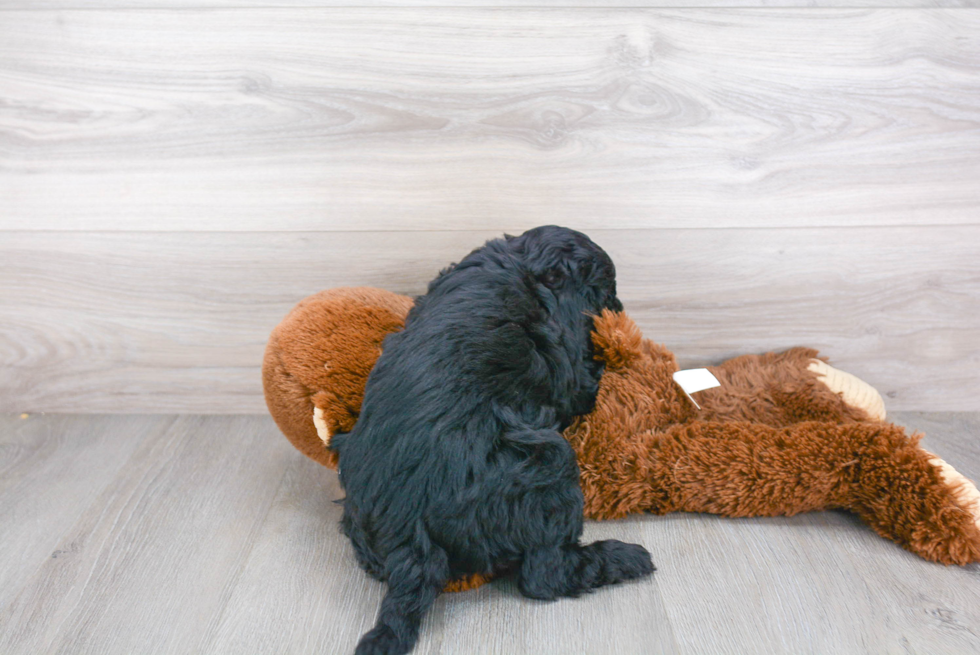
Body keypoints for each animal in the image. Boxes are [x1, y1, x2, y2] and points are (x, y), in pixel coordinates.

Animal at [334, 227, 656, 655]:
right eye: (606, 285)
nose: (618, 308)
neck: (522, 264)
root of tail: (411, 535)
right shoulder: (571, 359)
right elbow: (582, 382)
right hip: (550, 472)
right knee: (545, 575)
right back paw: (623, 558)